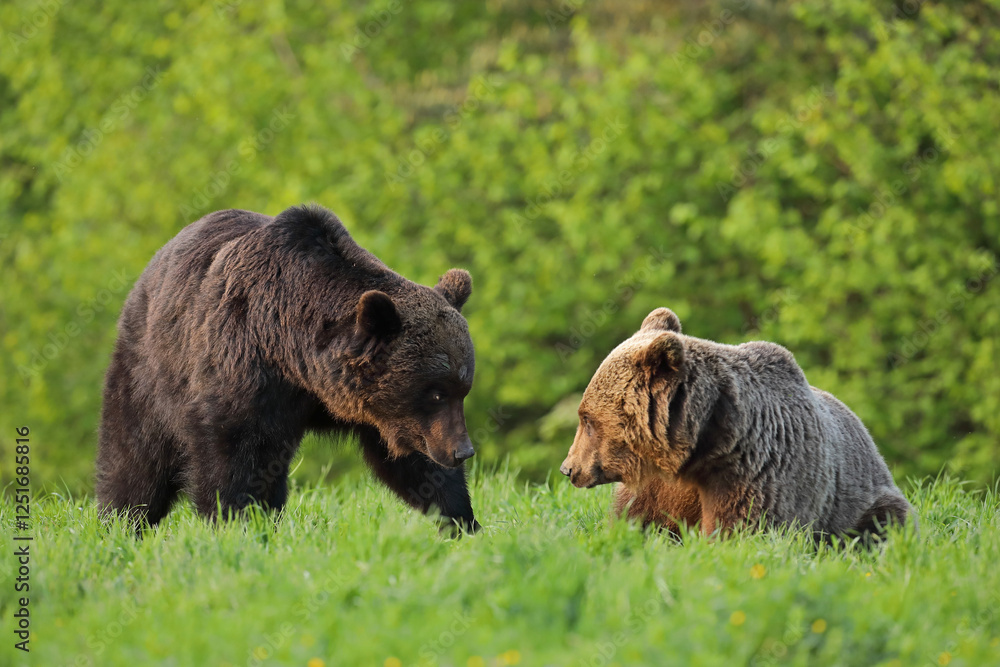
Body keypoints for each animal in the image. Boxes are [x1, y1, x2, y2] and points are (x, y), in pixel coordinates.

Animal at [96, 204, 480, 533]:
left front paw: (463, 522)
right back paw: (119, 521)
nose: (463, 451)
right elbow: (234, 458)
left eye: (462, 389)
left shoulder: (374, 412)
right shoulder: (243, 370)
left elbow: (417, 462)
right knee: (135, 456)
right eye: (435, 392)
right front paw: (237, 524)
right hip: (151, 369)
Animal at [559, 307, 913, 540]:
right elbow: (638, 520)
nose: (568, 468)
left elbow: (742, 531)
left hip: (865, 501)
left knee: (885, 523)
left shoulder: (754, 475)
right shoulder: (659, 486)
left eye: (587, 419)